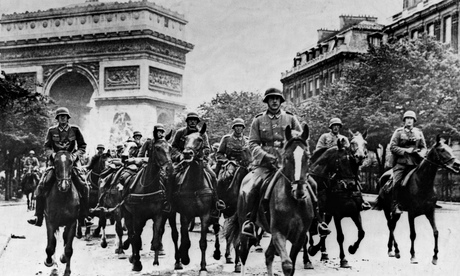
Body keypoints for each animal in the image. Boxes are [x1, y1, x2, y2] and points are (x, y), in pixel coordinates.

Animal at [172, 124, 221, 274]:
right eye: (185, 139)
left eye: (200, 139)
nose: (187, 153)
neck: (195, 184)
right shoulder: (185, 214)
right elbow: (185, 239)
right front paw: (185, 258)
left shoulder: (205, 215)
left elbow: (203, 242)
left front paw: (203, 267)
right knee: (176, 235)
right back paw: (178, 261)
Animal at [227, 125, 316, 276]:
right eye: (286, 157)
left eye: (308, 157)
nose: (299, 190)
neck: (294, 202)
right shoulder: (278, 233)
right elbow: (287, 265)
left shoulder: (299, 237)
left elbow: (291, 265)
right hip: (245, 228)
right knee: (243, 252)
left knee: (268, 255)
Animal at [306, 130, 370, 268]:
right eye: (353, 143)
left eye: (365, 143)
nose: (360, 156)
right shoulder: (337, 215)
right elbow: (340, 236)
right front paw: (343, 259)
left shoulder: (355, 213)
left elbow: (361, 233)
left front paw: (352, 248)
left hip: (327, 214)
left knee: (321, 232)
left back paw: (321, 252)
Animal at [374, 136, 460, 266]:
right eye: (442, 150)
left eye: (450, 148)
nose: (457, 164)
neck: (423, 183)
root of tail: (382, 177)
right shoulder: (411, 213)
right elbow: (413, 234)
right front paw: (413, 256)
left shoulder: (430, 212)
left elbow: (436, 232)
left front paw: (435, 257)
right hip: (386, 208)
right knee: (390, 225)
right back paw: (396, 250)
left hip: (396, 212)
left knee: (392, 225)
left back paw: (391, 249)